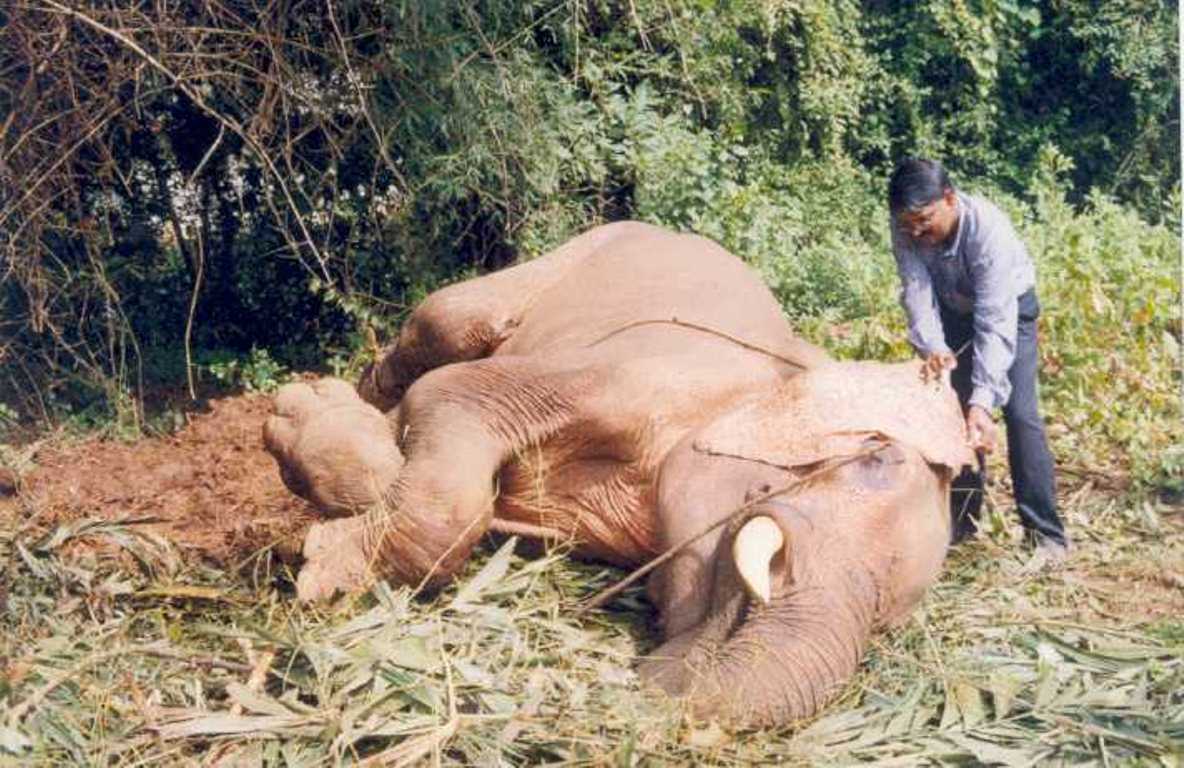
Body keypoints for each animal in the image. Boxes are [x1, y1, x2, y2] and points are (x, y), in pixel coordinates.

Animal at [264, 220, 975, 724]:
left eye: (888, 622)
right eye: (875, 458)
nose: (651, 677)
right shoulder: (640, 373)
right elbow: (453, 398)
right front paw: (319, 561)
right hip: (561, 258)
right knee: (445, 324)